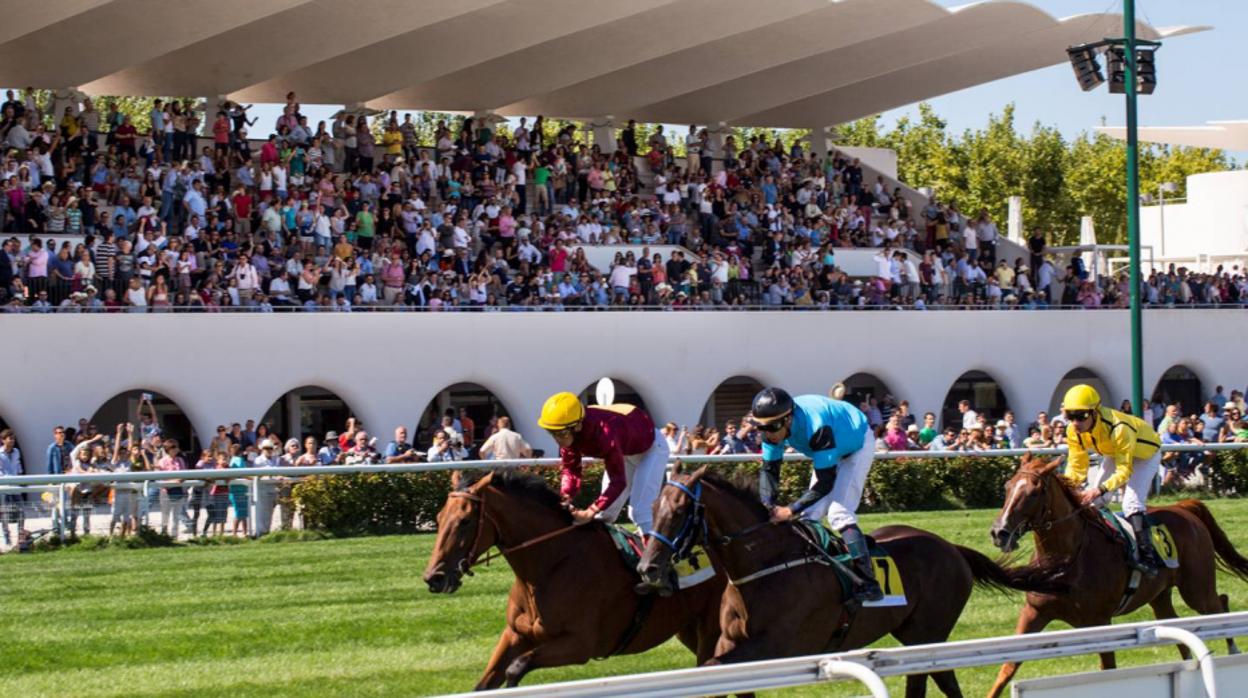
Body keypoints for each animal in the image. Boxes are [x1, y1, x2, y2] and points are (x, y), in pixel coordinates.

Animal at [424, 469, 728, 694]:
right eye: (439, 517)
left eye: (465, 520)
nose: (433, 577)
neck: (550, 565)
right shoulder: (515, 634)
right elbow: (484, 684)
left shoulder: (580, 644)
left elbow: (517, 667)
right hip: (687, 628)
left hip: (710, 629)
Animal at [638, 464, 1068, 698]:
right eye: (652, 507)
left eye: (680, 510)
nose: (647, 569)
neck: (764, 563)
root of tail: (951, 548)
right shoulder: (733, 642)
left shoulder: (774, 645)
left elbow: (710, 668)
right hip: (916, 636)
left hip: (930, 631)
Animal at [983, 457, 1248, 694]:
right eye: (1007, 487)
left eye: (1034, 493)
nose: (999, 533)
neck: (1066, 558)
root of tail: (1184, 507)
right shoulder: (1034, 612)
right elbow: (1007, 668)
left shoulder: (1100, 622)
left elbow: (1108, 668)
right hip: (1160, 594)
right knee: (1175, 625)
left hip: (1197, 589)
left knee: (1219, 604)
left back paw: (1233, 650)